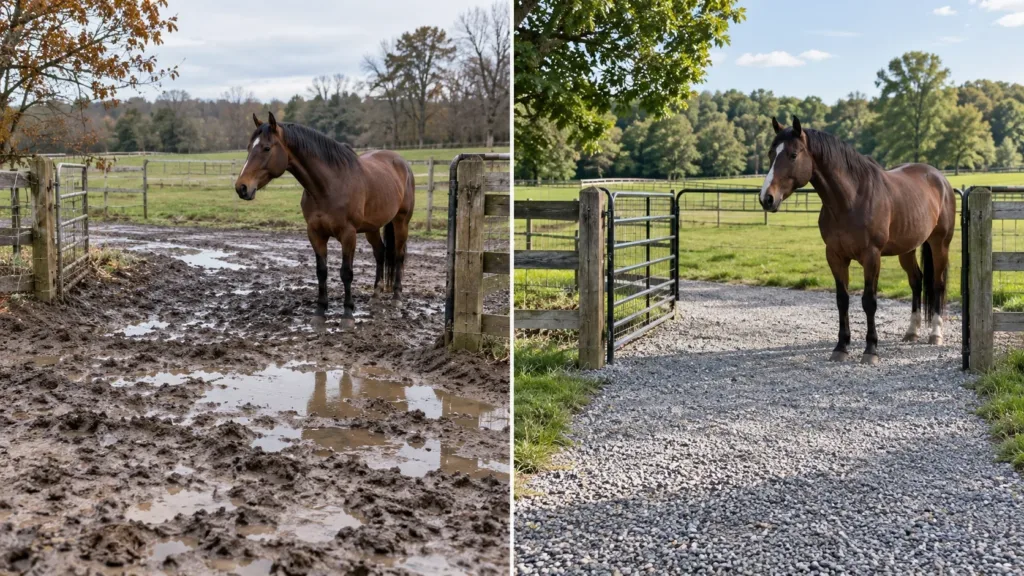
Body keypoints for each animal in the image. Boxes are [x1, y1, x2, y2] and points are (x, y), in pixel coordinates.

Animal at [234, 113, 415, 329]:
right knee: (380, 253)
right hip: (372, 227)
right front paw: (320, 312)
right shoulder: (315, 233)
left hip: (401, 222)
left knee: (398, 256)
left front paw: (347, 315)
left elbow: (346, 272)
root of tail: (401, 162)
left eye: (266, 148)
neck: (329, 186)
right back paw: (376, 295)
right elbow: (321, 271)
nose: (242, 187)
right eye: (248, 147)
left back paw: (397, 298)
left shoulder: (348, 234)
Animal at [759, 116, 956, 365]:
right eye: (770, 153)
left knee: (937, 284)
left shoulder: (871, 256)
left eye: (793, 155)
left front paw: (870, 350)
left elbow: (869, 301)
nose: (767, 198)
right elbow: (842, 300)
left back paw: (935, 334)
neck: (851, 199)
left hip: (940, 244)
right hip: (907, 249)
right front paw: (841, 347)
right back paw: (912, 331)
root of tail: (940, 179)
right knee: (916, 281)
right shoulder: (835, 255)